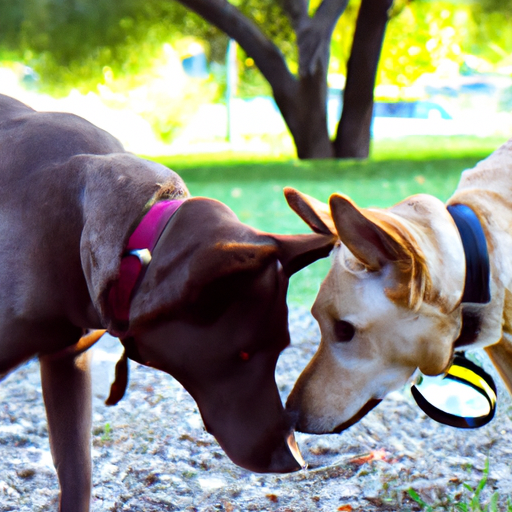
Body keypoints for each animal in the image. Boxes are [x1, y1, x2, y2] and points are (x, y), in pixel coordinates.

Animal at [0, 94, 334, 510]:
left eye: (280, 349)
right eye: (242, 354)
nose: (294, 459)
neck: (138, 240)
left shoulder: (68, 360)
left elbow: (77, 474)